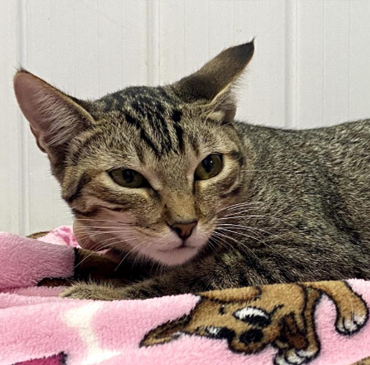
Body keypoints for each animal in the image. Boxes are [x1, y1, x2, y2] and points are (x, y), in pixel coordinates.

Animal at [13, 41, 370, 300]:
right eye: (127, 177)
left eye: (209, 166)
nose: (185, 225)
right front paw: (77, 263)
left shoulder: (314, 251)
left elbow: (197, 277)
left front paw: (100, 294)